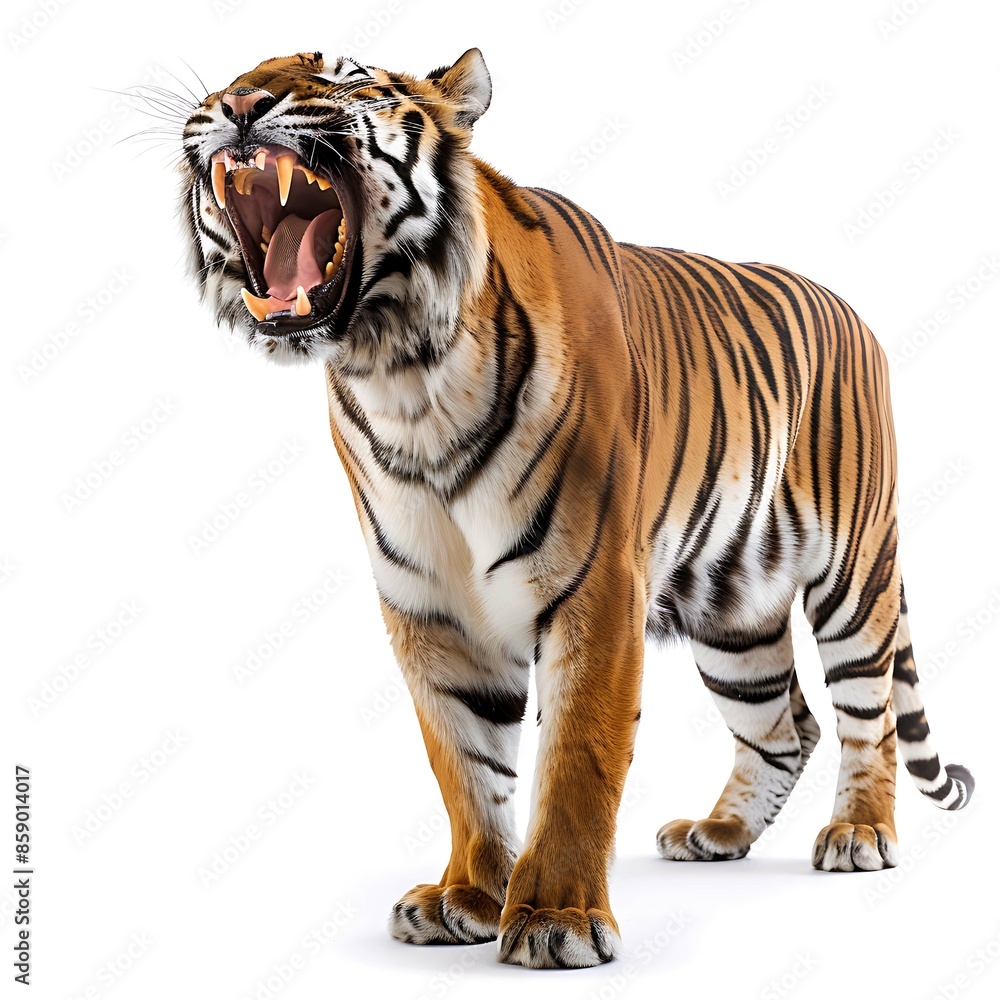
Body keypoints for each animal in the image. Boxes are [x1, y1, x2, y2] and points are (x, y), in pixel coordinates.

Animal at [177, 48, 975, 969]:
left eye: (344, 74)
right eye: (235, 75)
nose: (237, 103)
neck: (403, 374)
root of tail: (855, 313)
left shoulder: (594, 590)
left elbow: (577, 761)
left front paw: (556, 918)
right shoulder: (431, 611)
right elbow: (465, 765)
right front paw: (466, 896)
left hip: (853, 574)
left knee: (865, 714)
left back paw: (859, 834)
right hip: (733, 611)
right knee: (785, 724)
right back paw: (719, 832)